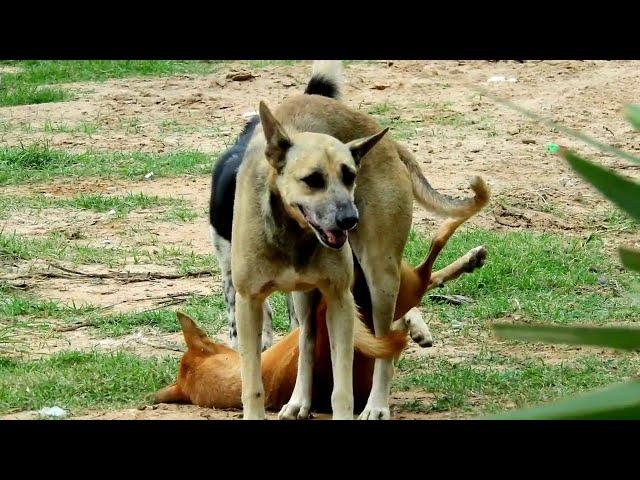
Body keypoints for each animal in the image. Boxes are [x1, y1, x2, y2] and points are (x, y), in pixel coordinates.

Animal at [232, 61, 488, 420]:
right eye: (313, 180)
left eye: (349, 176)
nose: (350, 219)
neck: (295, 235)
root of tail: (387, 142)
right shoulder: (249, 302)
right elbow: (253, 384)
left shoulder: (340, 299)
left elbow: (343, 389)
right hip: (306, 298)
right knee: (307, 341)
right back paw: (300, 400)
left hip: (381, 277)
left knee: (388, 341)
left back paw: (377, 403)